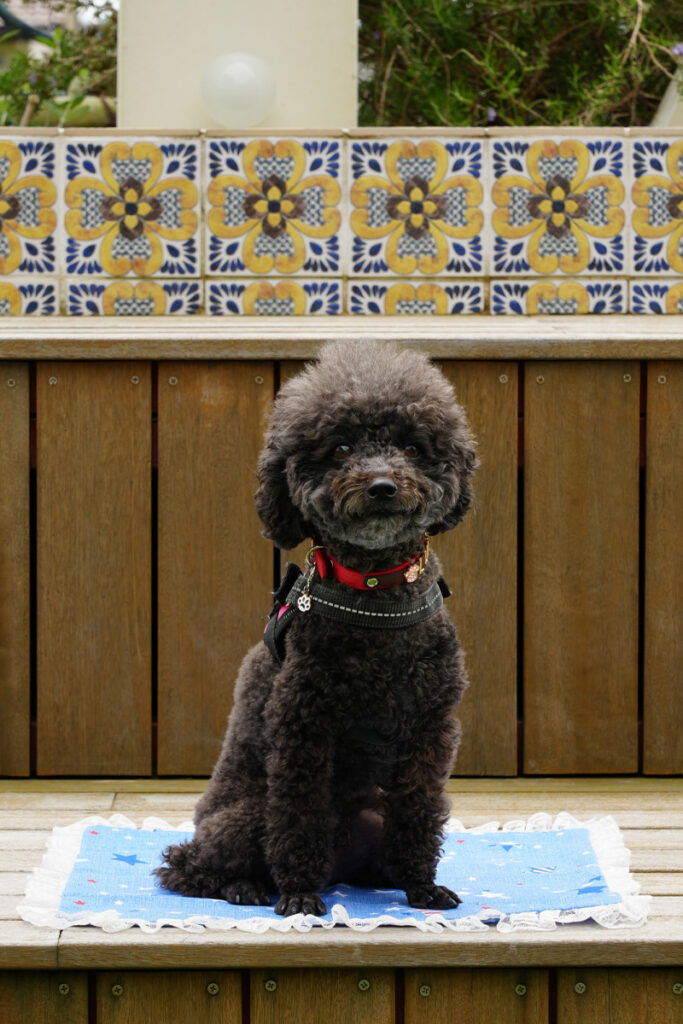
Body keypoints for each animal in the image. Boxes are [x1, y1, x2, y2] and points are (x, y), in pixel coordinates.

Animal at [155, 340, 477, 917]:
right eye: (342, 448)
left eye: (412, 447)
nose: (382, 486)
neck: (374, 589)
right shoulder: (302, 725)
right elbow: (299, 811)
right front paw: (300, 894)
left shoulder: (431, 726)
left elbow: (420, 808)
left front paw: (422, 886)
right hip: (243, 815)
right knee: (187, 866)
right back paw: (247, 886)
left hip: (373, 812)